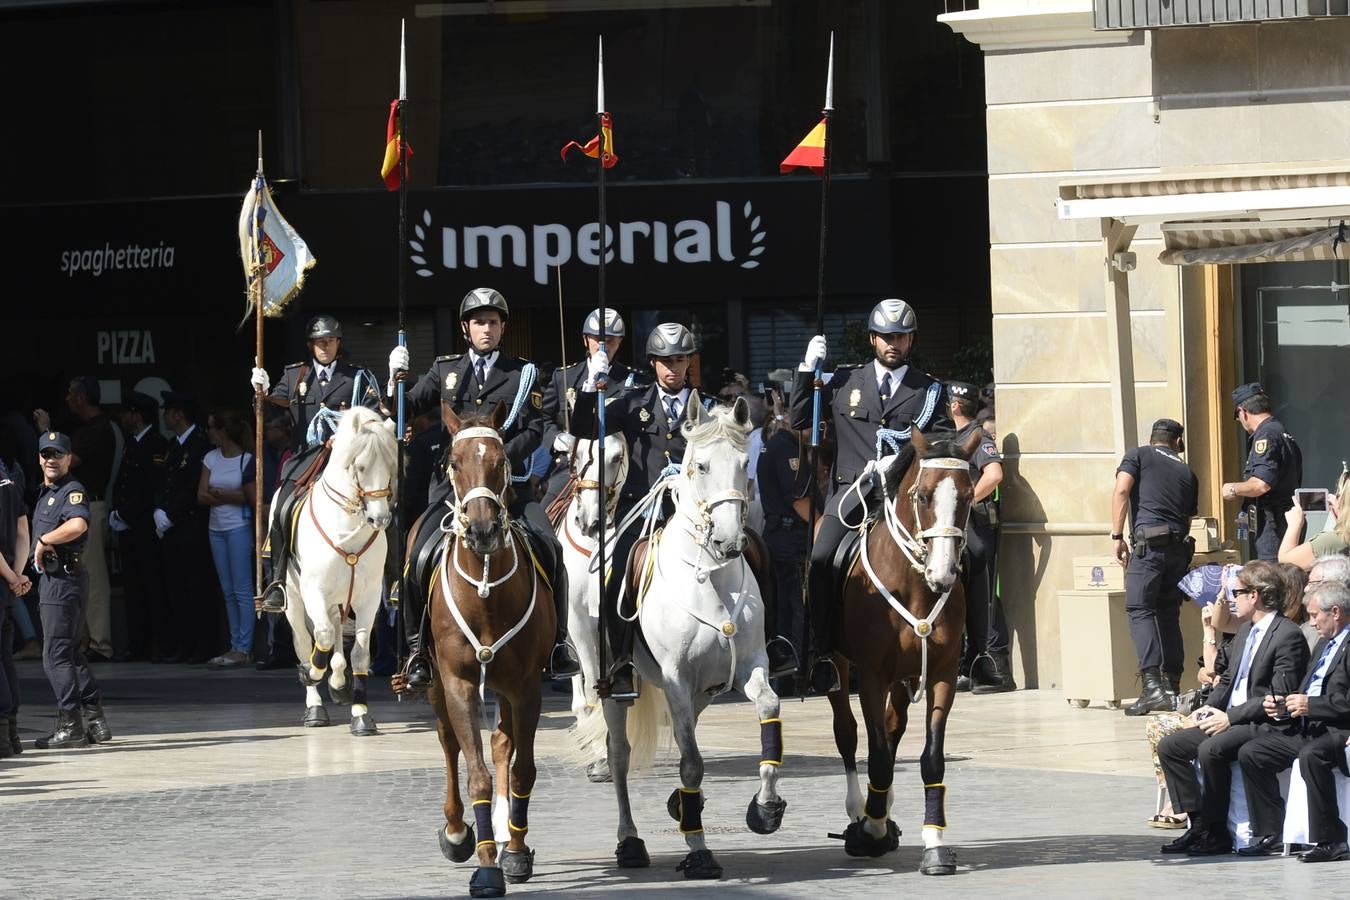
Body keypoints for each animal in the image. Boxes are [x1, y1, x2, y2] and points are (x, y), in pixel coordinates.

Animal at [275, 404, 396, 734]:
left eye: (391, 467)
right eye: (360, 467)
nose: (380, 520)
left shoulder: (367, 598)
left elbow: (360, 653)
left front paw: (360, 713)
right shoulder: (314, 592)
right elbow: (324, 637)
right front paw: (310, 674)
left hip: (340, 598)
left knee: (338, 636)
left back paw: (340, 684)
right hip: (295, 600)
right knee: (307, 640)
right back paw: (315, 704)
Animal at [421, 402, 548, 900]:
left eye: (500, 461)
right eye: (453, 464)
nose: (481, 530)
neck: (487, 588)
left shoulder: (527, 686)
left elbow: (521, 769)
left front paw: (514, 852)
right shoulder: (456, 682)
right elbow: (474, 768)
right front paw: (487, 864)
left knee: (502, 744)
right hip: (437, 682)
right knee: (448, 741)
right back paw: (458, 831)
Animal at [575, 394, 788, 879]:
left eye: (744, 463)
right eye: (701, 466)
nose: (730, 541)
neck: (710, 575)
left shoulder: (751, 666)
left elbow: (769, 709)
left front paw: (765, 808)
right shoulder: (675, 677)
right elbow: (691, 763)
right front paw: (699, 850)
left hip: (704, 690)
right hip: (617, 683)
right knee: (619, 755)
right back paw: (630, 842)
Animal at [820, 426, 982, 874]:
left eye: (968, 495)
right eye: (923, 496)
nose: (943, 574)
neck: (915, 587)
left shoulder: (942, 674)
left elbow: (930, 757)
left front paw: (935, 843)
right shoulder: (872, 675)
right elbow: (874, 753)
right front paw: (871, 830)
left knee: (893, 728)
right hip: (840, 665)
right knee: (848, 734)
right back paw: (860, 813)